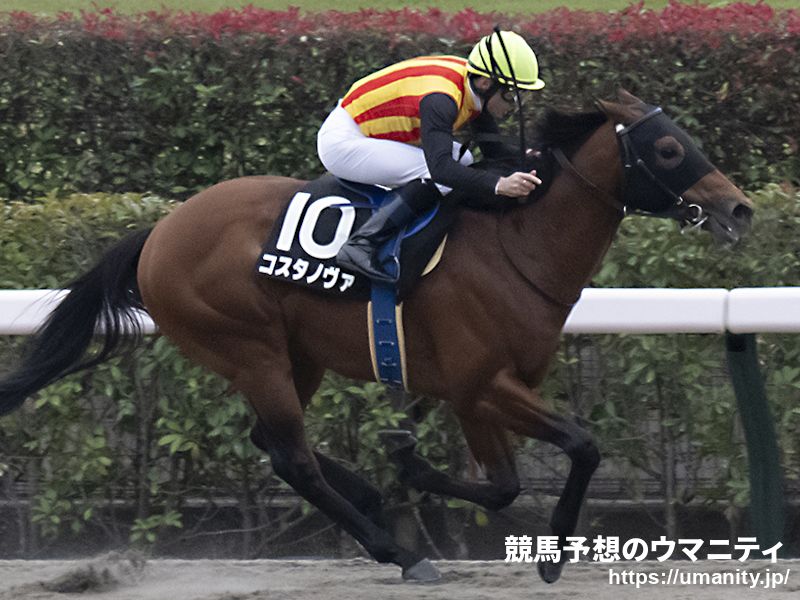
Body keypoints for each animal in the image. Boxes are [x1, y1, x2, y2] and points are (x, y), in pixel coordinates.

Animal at [0, 90, 752, 583]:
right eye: (668, 148)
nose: (739, 208)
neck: (516, 245)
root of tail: (159, 232)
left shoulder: (478, 394)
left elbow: (506, 486)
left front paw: (406, 463)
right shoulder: (482, 385)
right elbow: (580, 447)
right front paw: (547, 557)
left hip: (293, 355)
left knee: (269, 442)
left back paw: (367, 498)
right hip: (250, 347)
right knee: (291, 457)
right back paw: (403, 553)